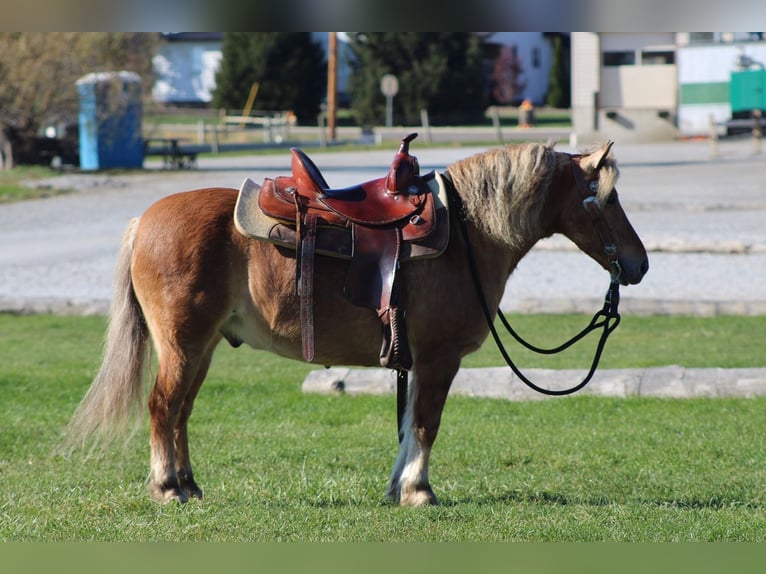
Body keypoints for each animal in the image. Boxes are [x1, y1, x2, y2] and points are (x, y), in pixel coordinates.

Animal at [65, 141, 648, 507]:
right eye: (605, 198)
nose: (638, 264)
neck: (469, 232)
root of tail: (144, 221)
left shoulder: (420, 361)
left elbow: (409, 422)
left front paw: (398, 487)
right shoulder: (440, 358)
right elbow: (426, 423)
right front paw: (418, 492)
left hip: (201, 347)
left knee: (181, 411)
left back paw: (188, 485)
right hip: (184, 345)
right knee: (163, 406)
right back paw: (167, 488)